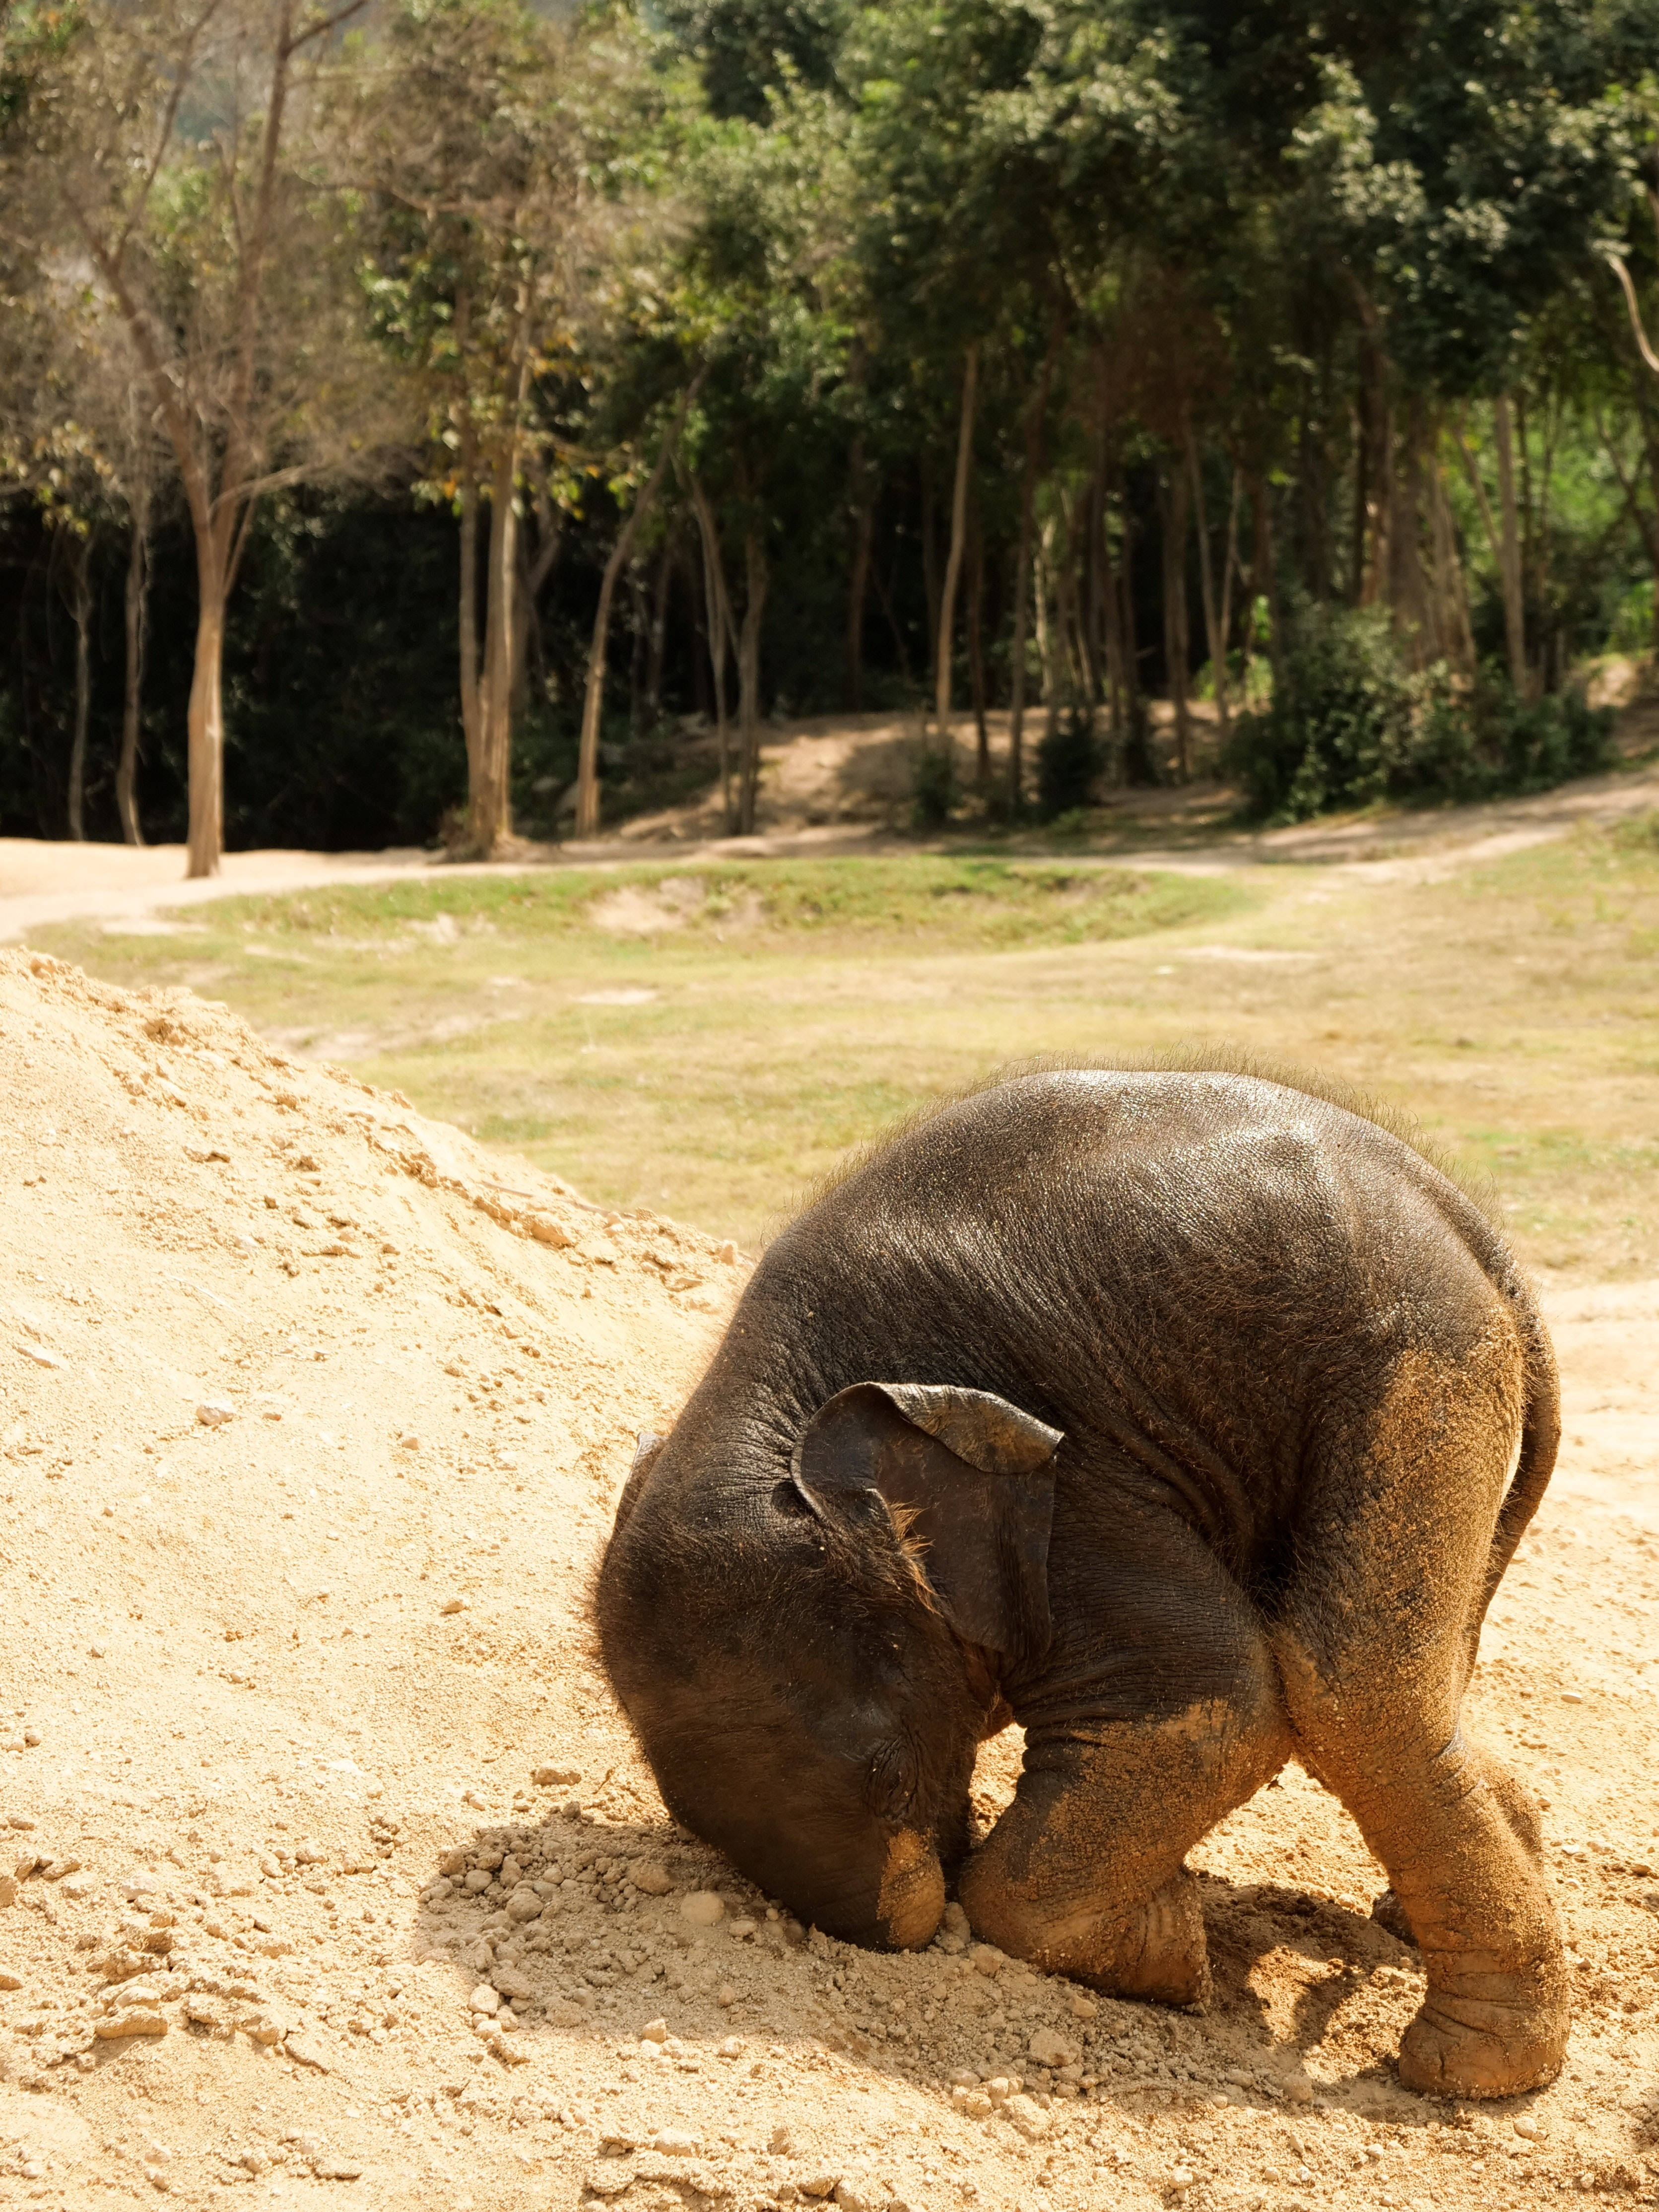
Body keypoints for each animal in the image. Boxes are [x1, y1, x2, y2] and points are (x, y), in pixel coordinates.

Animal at [596, 1067, 1567, 2100]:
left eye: (889, 1772)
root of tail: (1474, 1236)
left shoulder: (1074, 1477)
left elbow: (1203, 1702)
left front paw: (1178, 1955)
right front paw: (1173, 1932)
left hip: (1414, 1365)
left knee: (1351, 1686)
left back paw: (1465, 2072)